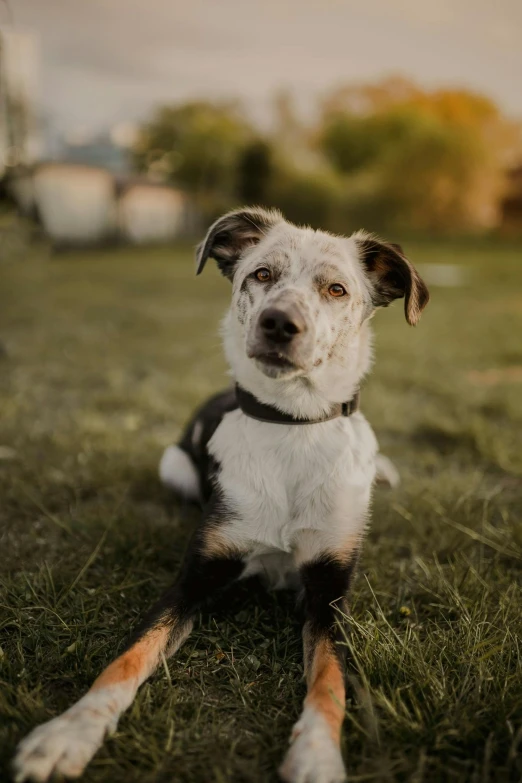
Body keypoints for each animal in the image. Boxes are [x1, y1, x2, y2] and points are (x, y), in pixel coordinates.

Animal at [14, 208, 426, 783]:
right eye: (261, 274)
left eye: (337, 289)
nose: (279, 323)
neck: (291, 425)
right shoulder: (194, 579)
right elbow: (127, 657)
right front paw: (67, 734)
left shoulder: (330, 593)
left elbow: (330, 683)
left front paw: (317, 754)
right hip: (173, 467)